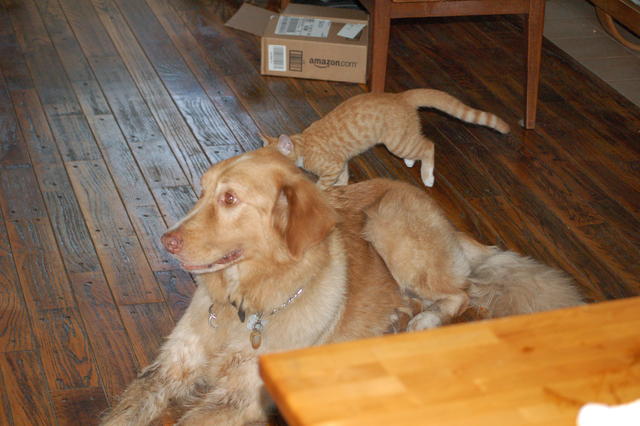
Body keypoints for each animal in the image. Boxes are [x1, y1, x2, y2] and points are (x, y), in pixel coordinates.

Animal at [100, 147, 583, 425]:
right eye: (200, 193)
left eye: (230, 199)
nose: (165, 240)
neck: (245, 306)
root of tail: (448, 222)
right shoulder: (169, 366)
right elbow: (126, 411)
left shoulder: (241, 398)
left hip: (391, 227)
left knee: (459, 293)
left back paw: (422, 322)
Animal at [262, 89, 510, 189]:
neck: (304, 143)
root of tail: (399, 96)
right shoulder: (341, 163)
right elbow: (343, 178)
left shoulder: (332, 166)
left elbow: (323, 184)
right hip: (403, 139)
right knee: (420, 144)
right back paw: (411, 163)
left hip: (397, 144)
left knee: (428, 145)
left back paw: (427, 176)